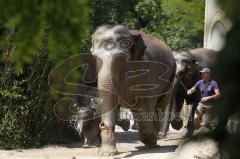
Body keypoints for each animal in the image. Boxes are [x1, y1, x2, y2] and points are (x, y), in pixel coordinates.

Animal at [78, 23, 175, 155]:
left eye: (120, 58)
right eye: (95, 58)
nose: (103, 125)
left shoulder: (147, 68)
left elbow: (146, 107)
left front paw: (149, 140)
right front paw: (107, 153)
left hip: (171, 78)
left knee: (159, 105)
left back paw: (153, 140)